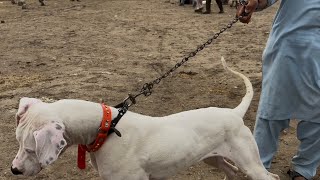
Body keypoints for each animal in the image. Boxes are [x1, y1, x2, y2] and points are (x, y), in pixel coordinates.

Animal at [11, 57, 278, 179]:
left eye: (32, 149)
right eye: (18, 143)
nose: (13, 170)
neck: (106, 128)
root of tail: (234, 113)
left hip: (251, 164)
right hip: (214, 158)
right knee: (231, 171)